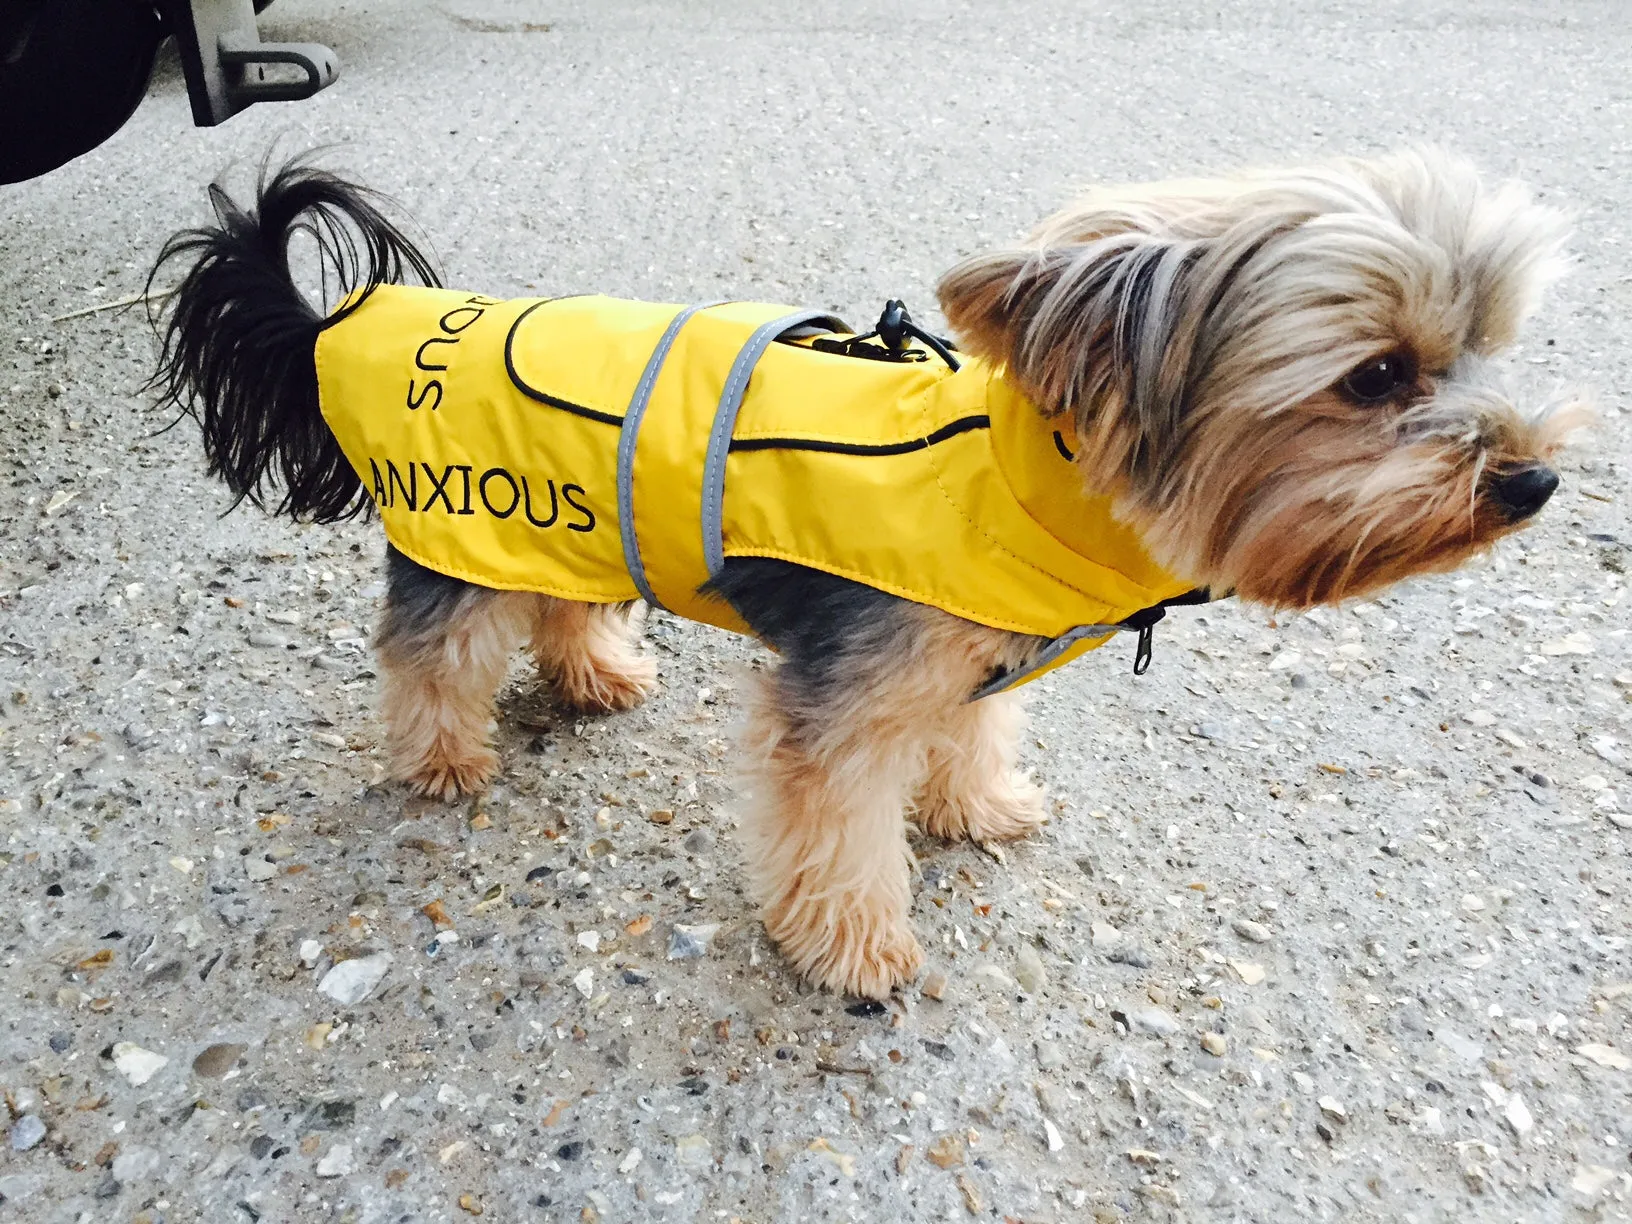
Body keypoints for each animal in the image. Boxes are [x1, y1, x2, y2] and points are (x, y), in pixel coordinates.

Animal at [150, 150, 1579, 998]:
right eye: (1378, 377)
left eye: (1488, 347)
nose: (1534, 481)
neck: (1019, 483)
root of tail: (346, 329)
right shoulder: (843, 705)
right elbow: (838, 833)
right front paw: (858, 947)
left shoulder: (966, 658)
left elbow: (973, 737)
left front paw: (976, 806)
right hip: (468, 537)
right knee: (429, 652)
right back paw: (442, 760)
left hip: (565, 521)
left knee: (557, 603)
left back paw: (595, 673)